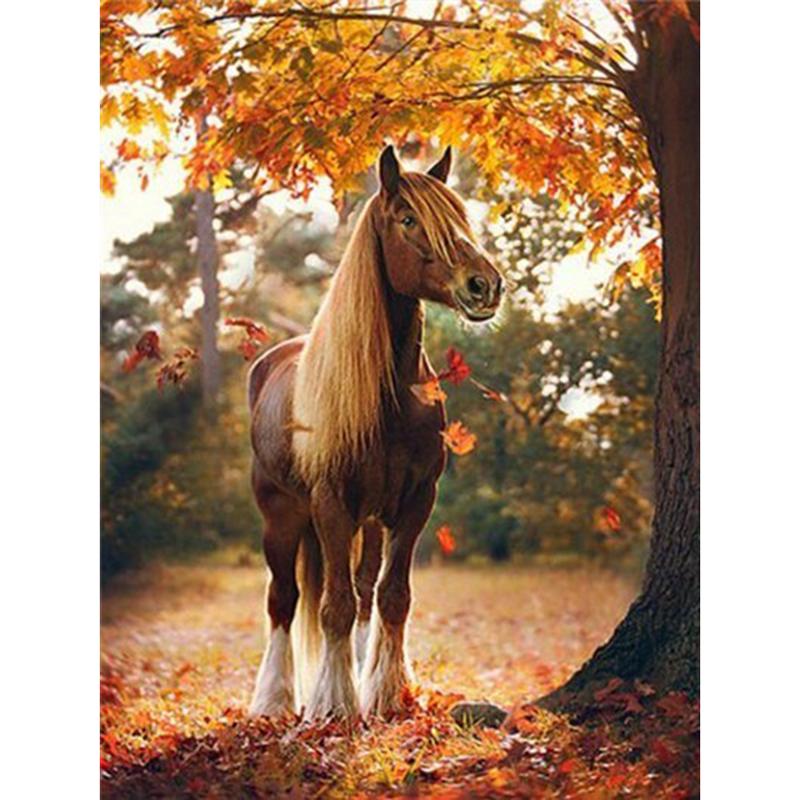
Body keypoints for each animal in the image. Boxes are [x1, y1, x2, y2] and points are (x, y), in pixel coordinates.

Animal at [247, 144, 503, 720]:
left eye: (460, 216)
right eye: (408, 219)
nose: (484, 285)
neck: (392, 398)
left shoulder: (414, 503)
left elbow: (391, 596)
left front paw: (384, 693)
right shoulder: (331, 503)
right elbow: (334, 605)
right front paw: (334, 705)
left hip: (366, 520)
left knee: (363, 592)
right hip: (282, 515)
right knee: (283, 600)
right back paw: (273, 700)